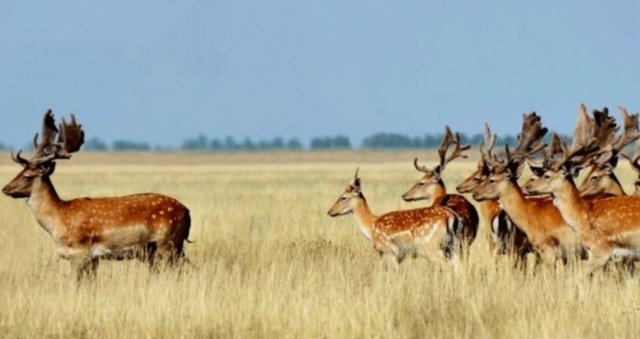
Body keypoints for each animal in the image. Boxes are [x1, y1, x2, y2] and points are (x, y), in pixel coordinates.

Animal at [2, 111, 192, 282]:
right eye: (20, 171)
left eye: (28, 176)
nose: (5, 188)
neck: (58, 219)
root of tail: (186, 211)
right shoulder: (92, 258)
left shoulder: (80, 252)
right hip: (162, 249)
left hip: (167, 243)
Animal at [330, 169, 460, 270]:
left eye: (343, 197)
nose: (330, 211)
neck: (371, 226)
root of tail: (451, 217)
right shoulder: (398, 257)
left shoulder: (389, 252)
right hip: (453, 247)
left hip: (432, 248)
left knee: (448, 267)